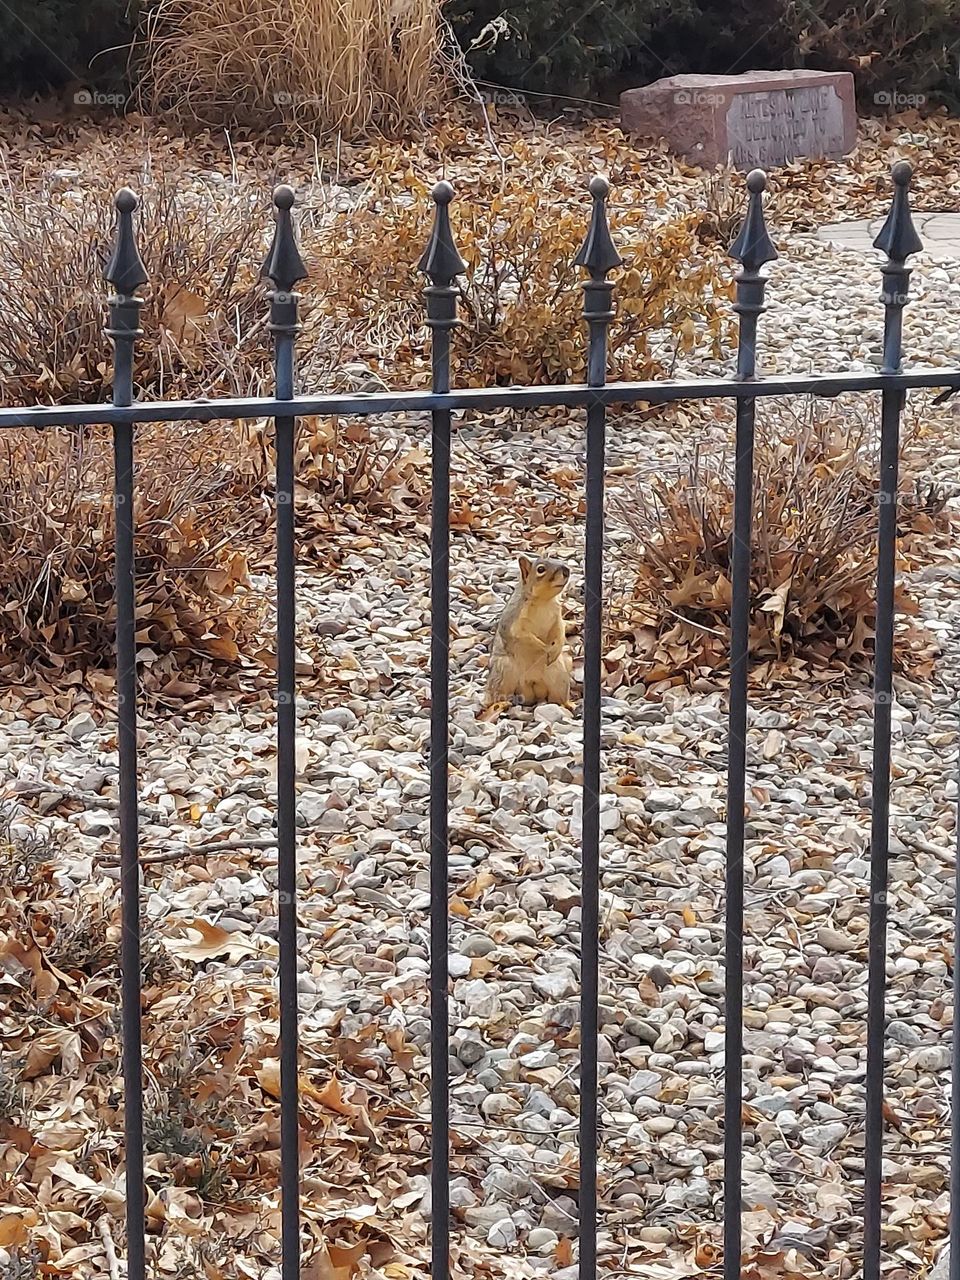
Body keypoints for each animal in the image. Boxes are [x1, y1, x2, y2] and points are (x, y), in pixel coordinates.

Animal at [485, 554, 572, 707]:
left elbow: (560, 630)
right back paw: (498, 705)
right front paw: (545, 649)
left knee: (557, 698)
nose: (566, 571)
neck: (544, 601)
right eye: (541, 569)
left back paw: (568, 705)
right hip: (502, 673)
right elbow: (524, 637)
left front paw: (556, 648)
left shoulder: (557, 616)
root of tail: (532, 682)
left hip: (559, 677)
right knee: (497, 694)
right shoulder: (514, 622)